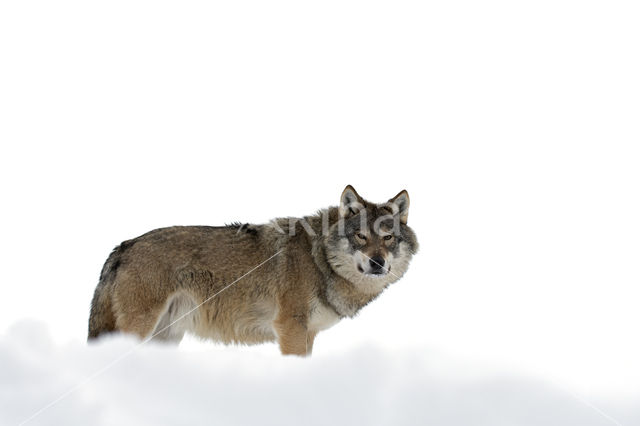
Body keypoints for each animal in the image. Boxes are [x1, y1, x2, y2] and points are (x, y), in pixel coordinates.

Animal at [89, 186, 420, 356]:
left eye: (388, 238)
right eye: (361, 236)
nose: (377, 263)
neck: (319, 261)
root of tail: (123, 246)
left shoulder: (308, 334)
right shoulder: (290, 329)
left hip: (164, 336)